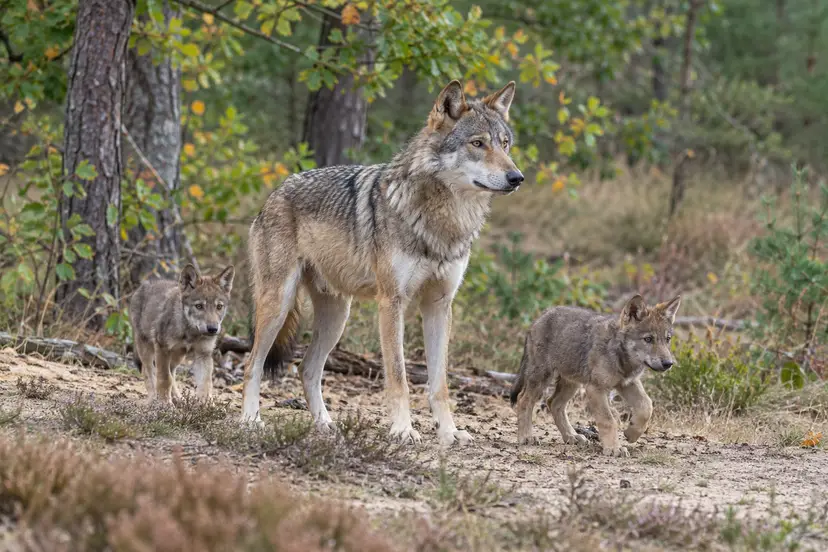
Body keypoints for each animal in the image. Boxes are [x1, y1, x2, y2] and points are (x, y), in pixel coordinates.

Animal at [129, 264, 235, 403]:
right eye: (199, 306)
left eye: (219, 307)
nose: (212, 329)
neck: (190, 332)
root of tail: (142, 285)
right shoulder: (162, 348)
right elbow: (164, 378)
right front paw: (164, 404)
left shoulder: (203, 354)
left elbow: (206, 384)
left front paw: (206, 406)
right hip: (146, 349)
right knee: (148, 372)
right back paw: (152, 399)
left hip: (178, 356)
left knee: (172, 372)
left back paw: (178, 398)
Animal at [241, 80, 523, 446]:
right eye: (477, 144)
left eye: (504, 144)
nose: (517, 177)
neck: (444, 221)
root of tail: (274, 193)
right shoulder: (392, 302)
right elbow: (399, 376)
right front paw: (403, 429)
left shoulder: (439, 305)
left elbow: (440, 383)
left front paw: (449, 432)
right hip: (279, 305)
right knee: (252, 363)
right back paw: (250, 420)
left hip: (337, 317)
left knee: (306, 368)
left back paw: (325, 425)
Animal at [510, 294, 681, 457]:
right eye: (648, 339)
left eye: (667, 339)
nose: (668, 363)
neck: (622, 359)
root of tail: (540, 316)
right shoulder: (596, 389)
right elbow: (608, 420)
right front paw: (613, 448)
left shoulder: (627, 383)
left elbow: (647, 406)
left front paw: (632, 434)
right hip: (542, 378)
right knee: (524, 399)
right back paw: (526, 437)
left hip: (572, 383)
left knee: (553, 403)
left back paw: (571, 436)